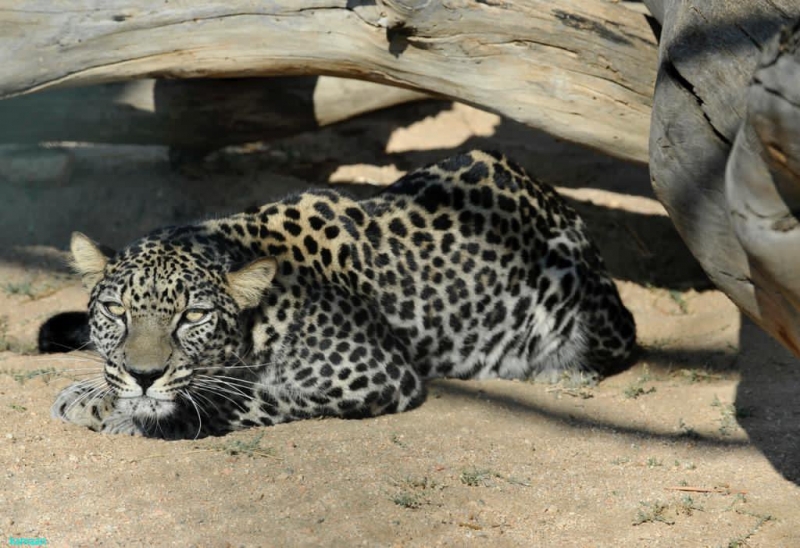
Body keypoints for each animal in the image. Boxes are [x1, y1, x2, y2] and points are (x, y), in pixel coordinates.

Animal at [48, 151, 636, 440]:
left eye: (192, 316)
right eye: (115, 311)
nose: (144, 375)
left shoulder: (376, 373)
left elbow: (243, 398)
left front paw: (136, 414)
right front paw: (93, 394)